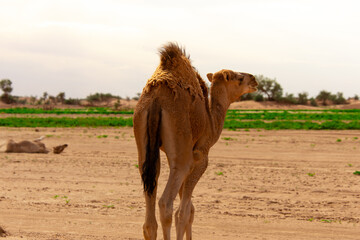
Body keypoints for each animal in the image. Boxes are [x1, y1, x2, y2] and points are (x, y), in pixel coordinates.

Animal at [134, 43, 258, 240]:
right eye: (239, 78)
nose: (254, 79)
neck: (211, 122)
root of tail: (156, 100)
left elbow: (190, 209)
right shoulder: (199, 158)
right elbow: (184, 212)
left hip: (144, 143)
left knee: (149, 212)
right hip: (180, 145)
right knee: (166, 204)